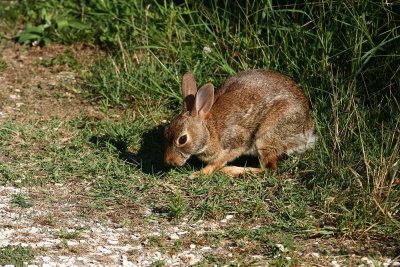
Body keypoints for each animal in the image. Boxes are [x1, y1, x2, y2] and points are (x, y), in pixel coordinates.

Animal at [162, 69, 316, 178]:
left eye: (182, 139)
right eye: (166, 131)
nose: (169, 161)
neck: (210, 130)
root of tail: (307, 133)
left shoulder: (235, 143)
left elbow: (218, 162)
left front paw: (199, 174)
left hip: (266, 137)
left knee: (268, 169)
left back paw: (230, 170)